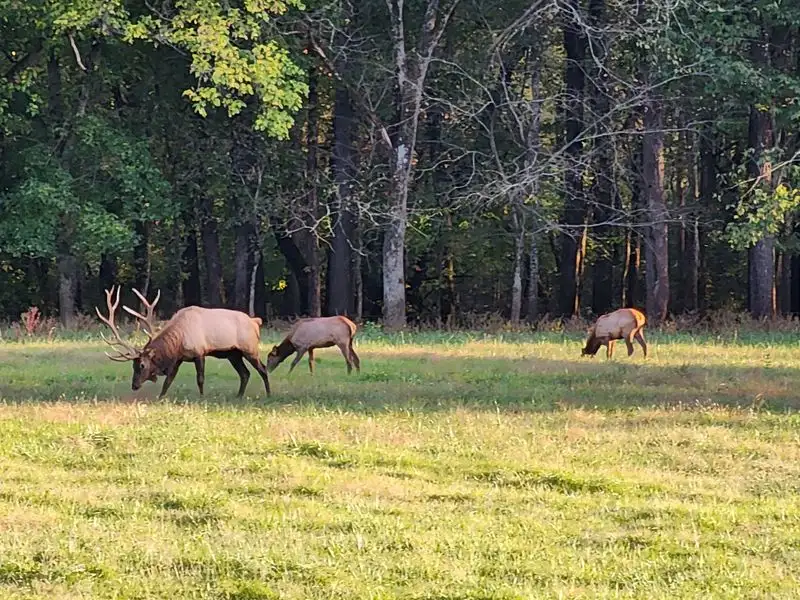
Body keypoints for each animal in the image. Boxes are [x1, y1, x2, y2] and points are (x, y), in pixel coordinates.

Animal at [95, 286, 271, 398]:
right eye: (133, 365)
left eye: (142, 365)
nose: (134, 385)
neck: (179, 340)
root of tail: (256, 321)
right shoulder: (179, 358)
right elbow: (168, 380)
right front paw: (160, 398)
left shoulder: (199, 352)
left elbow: (200, 379)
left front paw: (202, 397)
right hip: (233, 354)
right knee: (245, 373)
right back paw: (239, 396)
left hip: (249, 348)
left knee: (262, 369)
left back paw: (268, 394)